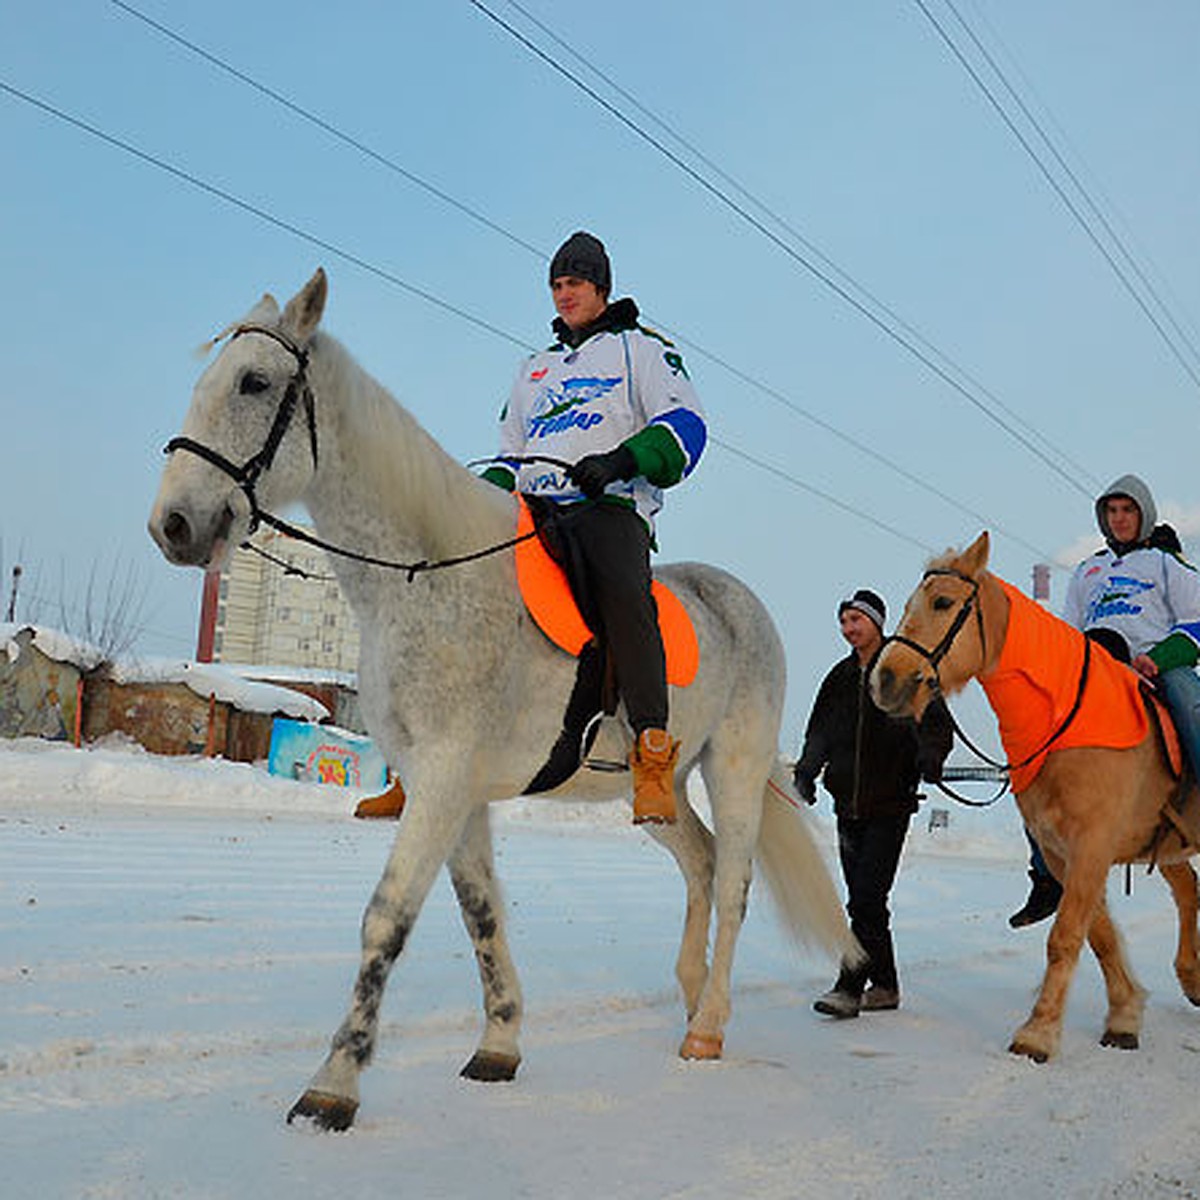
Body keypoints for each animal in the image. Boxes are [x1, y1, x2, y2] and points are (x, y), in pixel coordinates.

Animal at [150, 267, 859, 1128]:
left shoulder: (446, 777)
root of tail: (738, 598)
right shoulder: (452, 789)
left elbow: (387, 917)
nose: (173, 524)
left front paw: (335, 1083)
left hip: (735, 767)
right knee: (701, 863)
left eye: (254, 382)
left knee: (734, 882)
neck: (426, 578)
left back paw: (710, 1027)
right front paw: (498, 1045)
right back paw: (691, 999)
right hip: (659, 790)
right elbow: (480, 911)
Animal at [873, 532, 1200, 1060]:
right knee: (1188, 891)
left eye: (942, 602)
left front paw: (1038, 1033)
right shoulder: (1063, 850)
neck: (1067, 720)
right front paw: (1124, 1015)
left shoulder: (1092, 844)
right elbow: (1097, 934)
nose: (886, 681)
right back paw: (1192, 979)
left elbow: (1066, 937)